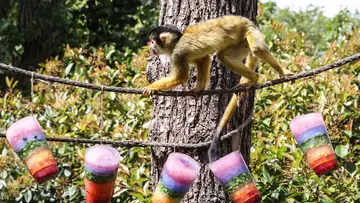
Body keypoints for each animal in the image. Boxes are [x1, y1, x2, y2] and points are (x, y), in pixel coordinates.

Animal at [145, 15, 294, 162]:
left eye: (152, 41)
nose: (150, 48)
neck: (176, 42)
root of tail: (245, 20)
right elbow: (203, 59)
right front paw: (199, 88)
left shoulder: (178, 53)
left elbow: (181, 77)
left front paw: (151, 87)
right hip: (242, 43)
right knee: (224, 56)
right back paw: (251, 78)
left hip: (249, 30)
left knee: (257, 48)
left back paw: (263, 75)